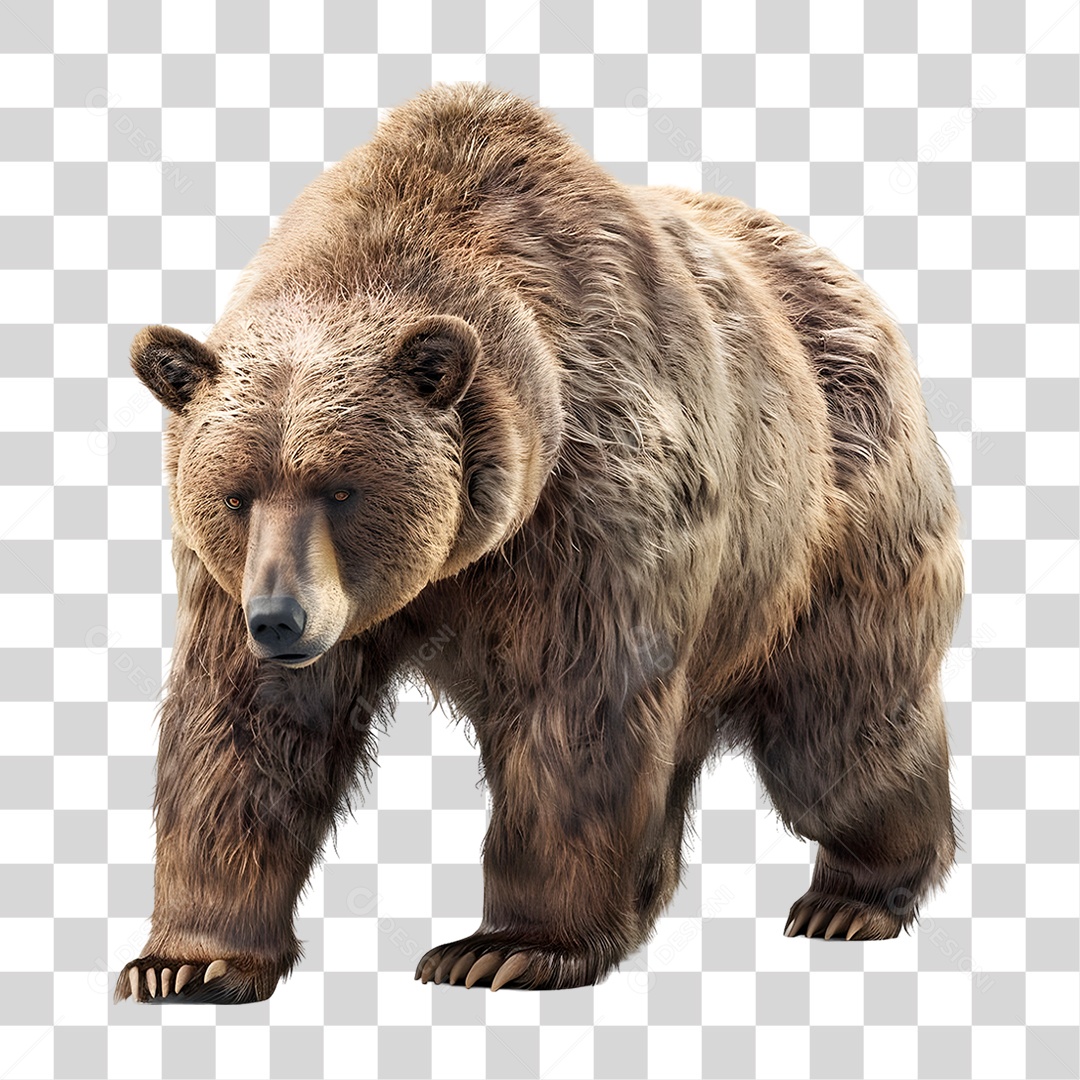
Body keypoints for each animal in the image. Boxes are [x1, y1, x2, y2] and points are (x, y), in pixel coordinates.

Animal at [115, 83, 963, 1003]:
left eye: (342, 490)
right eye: (235, 495)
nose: (279, 618)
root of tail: (851, 284)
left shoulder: (596, 507)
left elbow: (578, 709)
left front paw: (505, 946)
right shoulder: (234, 580)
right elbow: (246, 727)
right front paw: (187, 959)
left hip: (830, 515)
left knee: (839, 728)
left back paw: (855, 897)